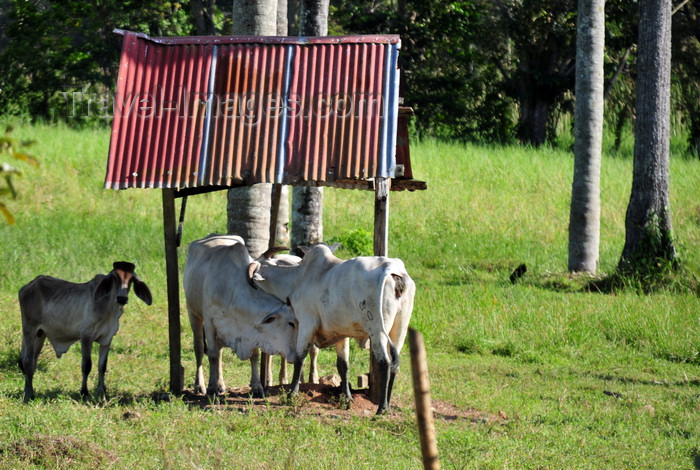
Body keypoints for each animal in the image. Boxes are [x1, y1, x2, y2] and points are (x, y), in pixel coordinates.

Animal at [19, 260, 152, 400]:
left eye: (131, 279)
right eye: (115, 277)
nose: (122, 298)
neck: (109, 307)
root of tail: (28, 286)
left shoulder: (107, 338)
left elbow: (102, 366)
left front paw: (101, 391)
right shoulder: (86, 335)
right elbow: (86, 365)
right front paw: (84, 392)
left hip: (40, 334)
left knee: (33, 361)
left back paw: (28, 390)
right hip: (29, 330)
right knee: (27, 360)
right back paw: (29, 393)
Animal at [183, 233, 298, 398]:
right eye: (291, 323)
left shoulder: (251, 328)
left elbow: (254, 355)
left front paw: (257, 386)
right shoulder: (210, 322)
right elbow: (212, 355)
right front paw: (211, 389)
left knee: (219, 351)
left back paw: (221, 384)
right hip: (193, 313)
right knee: (199, 349)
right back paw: (200, 386)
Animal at [246, 244, 412, 414]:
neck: (298, 280)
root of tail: (393, 270)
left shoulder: (307, 323)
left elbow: (300, 358)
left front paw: (292, 394)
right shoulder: (341, 333)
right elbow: (343, 366)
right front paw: (347, 399)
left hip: (377, 330)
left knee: (385, 363)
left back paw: (382, 407)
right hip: (399, 329)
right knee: (394, 365)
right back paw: (388, 404)